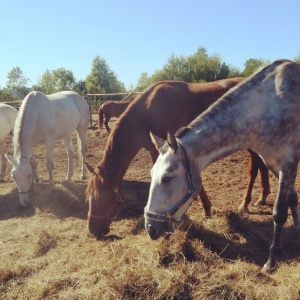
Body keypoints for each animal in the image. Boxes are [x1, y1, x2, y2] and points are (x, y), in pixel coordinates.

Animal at [84, 78, 270, 239]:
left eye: (100, 198)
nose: (92, 230)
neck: (147, 112)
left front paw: (206, 209)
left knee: (255, 168)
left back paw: (245, 203)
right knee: (262, 166)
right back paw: (262, 197)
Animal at [145, 59, 300, 274]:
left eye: (167, 178)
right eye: (152, 174)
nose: (150, 228)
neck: (268, 105)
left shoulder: (288, 161)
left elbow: (279, 212)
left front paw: (272, 260)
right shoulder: (273, 162)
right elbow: (293, 197)